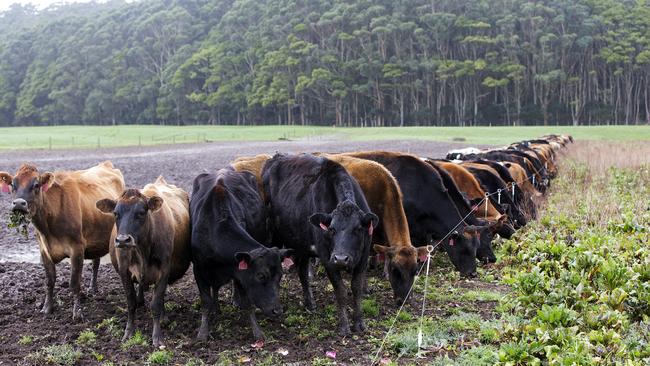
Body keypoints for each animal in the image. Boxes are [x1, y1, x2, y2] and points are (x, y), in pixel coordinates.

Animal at [0, 163, 124, 320]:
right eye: (12, 184)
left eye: (36, 184)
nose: (19, 204)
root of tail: (106, 164)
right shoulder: (44, 250)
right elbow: (49, 280)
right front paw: (47, 308)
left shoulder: (77, 248)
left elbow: (74, 283)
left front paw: (77, 312)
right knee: (95, 262)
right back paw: (92, 288)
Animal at [95, 176, 190, 348]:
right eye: (115, 213)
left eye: (141, 212)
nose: (123, 240)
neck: (141, 251)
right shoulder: (124, 271)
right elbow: (131, 302)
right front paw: (128, 332)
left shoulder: (164, 270)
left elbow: (156, 303)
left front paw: (157, 336)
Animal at [187, 168, 292, 340]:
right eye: (260, 275)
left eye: (280, 275)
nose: (277, 310)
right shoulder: (199, 270)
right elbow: (206, 302)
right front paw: (202, 333)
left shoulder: (240, 274)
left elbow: (247, 303)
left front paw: (257, 332)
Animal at [260, 153, 378, 336]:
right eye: (331, 229)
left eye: (358, 229)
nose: (341, 258)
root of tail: (276, 156)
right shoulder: (326, 257)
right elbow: (341, 291)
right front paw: (344, 326)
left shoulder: (363, 256)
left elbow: (356, 289)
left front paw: (359, 323)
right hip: (274, 236)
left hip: (301, 243)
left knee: (302, 272)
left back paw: (309, 303)